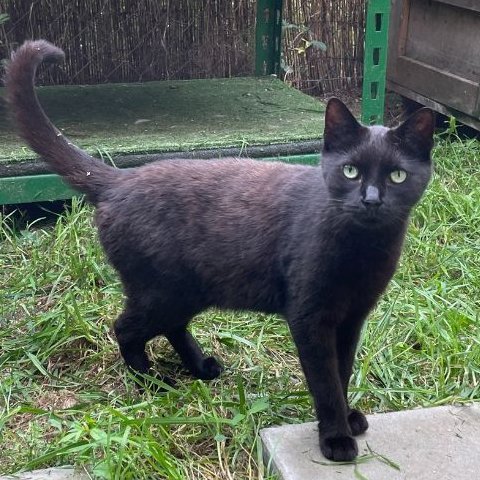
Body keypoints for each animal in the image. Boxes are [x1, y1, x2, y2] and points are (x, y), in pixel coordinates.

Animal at [5, 40, 434, 462]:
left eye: (397, 175)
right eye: (350, 172)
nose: (371, 200)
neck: (363, 250)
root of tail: (119, 180)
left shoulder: (351, 319)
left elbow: (342, 371)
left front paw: (348, 416)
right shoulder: (310, 318)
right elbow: (325, 380)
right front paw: (336, 438)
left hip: (186, 291)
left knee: (171, 326)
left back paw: (200, 367)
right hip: (162, 292)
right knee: (125, 328)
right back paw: (152, 383)